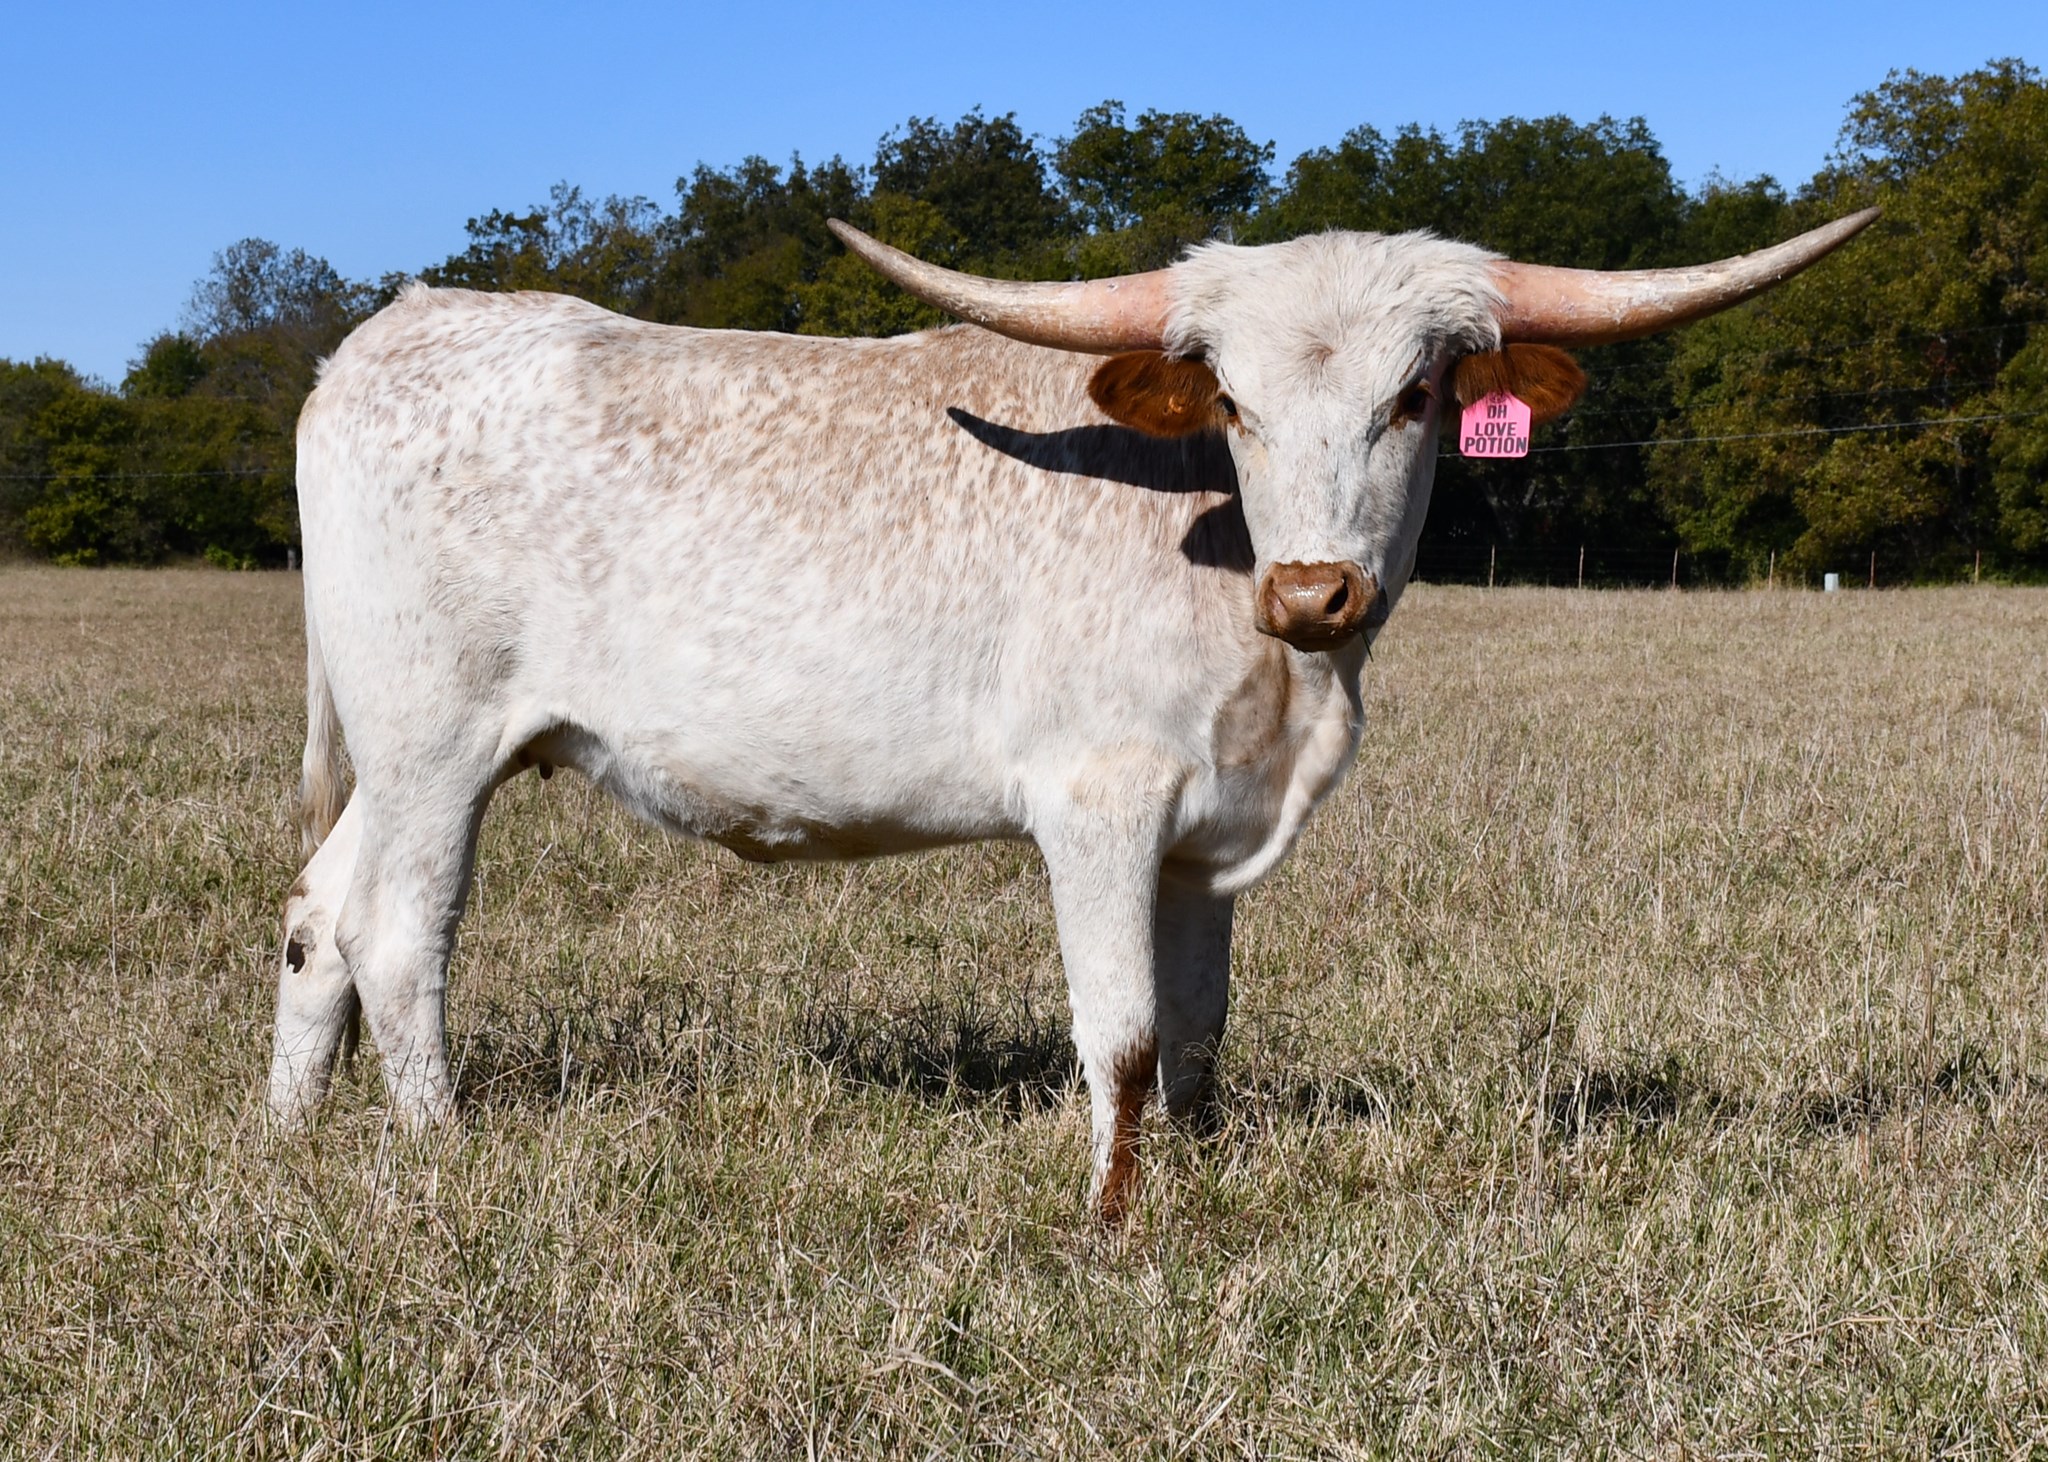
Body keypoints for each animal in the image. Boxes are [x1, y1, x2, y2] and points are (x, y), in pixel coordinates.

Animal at [271, 207, 1877, 1219]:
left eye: (1418, 396)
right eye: (1228, 403)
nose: (1314, 589)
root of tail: (386, 337)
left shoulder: (1208, 835)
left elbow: (1203, 1027)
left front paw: (1201, 1170)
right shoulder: (1098, 801)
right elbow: (1122, 1028)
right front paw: (1112, 1217)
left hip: (401, 754)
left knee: (315, 913)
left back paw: (288, 1133)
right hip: (435, 743)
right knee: (399, 933)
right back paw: (440, 1149)